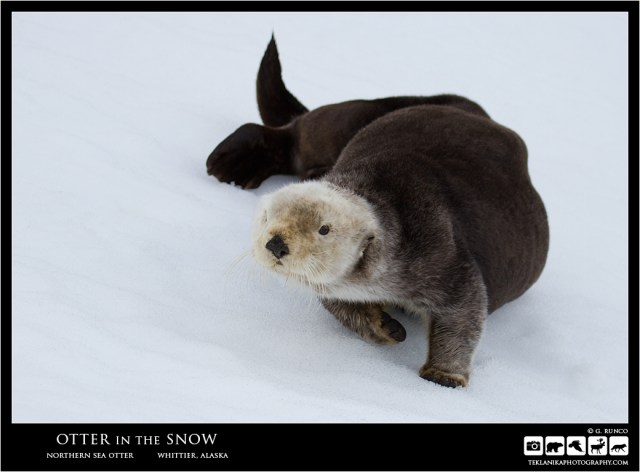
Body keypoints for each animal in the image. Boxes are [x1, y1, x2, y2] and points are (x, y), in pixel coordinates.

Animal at [252, 105, 549, 388]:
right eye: (267, 216)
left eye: (324, 229)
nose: (276, 243)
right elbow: (338, 304)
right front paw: (384, 327)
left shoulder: (440, 254)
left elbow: (464, 311)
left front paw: (444, 376)